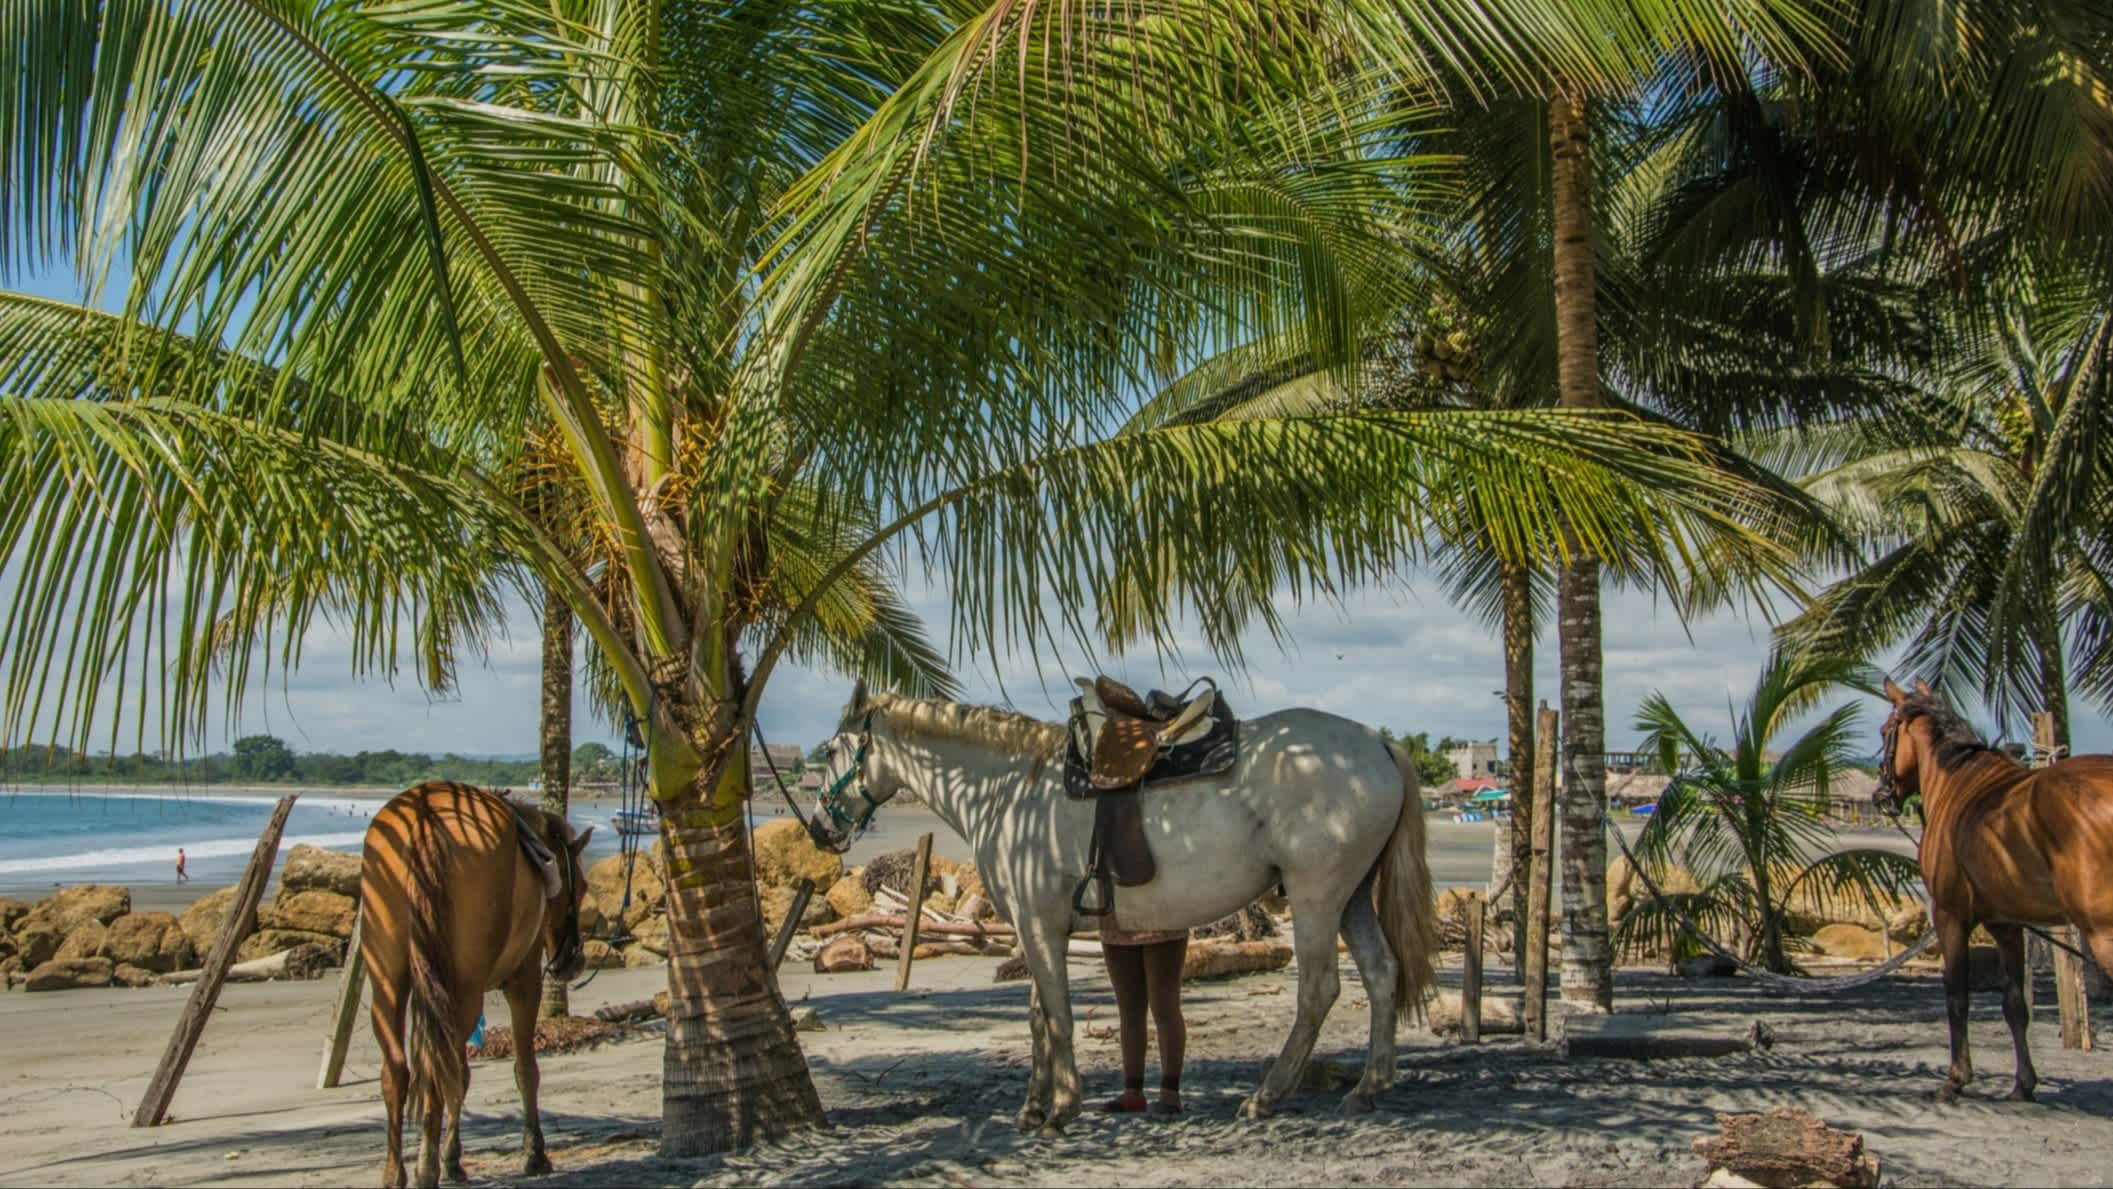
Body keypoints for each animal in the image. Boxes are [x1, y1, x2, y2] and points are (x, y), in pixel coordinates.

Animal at [359, 781, 595, 1189]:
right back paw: (426, 1168)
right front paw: (534, 1153)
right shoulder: (523, 982)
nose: (572, 961)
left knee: (400, 1070)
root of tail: (424, 813)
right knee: (437, 1071)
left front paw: (453, 1158)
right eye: (580, 888)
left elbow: (463, 1074)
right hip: (464, 990)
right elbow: (525, 1070)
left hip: (388, 983)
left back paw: (396, 1172)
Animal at [807, 680, 1436, 1131]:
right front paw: (1034, 1106)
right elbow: (1039, 1015)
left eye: (833, 749)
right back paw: (1369, 1087)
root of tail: (1377, 745)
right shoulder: (1037, 928)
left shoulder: (1039, 925)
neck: (1008, 792)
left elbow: (1058, 1016)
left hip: (1315, 897)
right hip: (1351, 897)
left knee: (1318, 991)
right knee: (1382, 974)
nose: (817, 829)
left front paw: (1062, 1107)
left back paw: (1266, 1098)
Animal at [1884, 680, 2113, 1106]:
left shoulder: (1950, 915)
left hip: (2102, 931)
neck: (1959, 785)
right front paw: (2023, 1083)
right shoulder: (2007, 924)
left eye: (1884, 730)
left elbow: (1957, 995)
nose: (1882, 795)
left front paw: (1956, 1079)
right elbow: (2014, 1005)